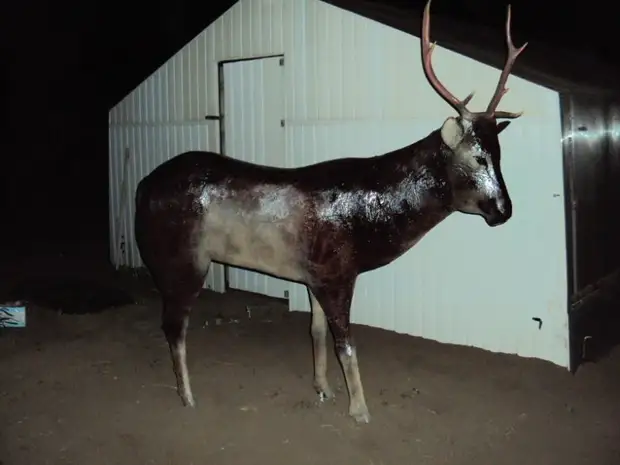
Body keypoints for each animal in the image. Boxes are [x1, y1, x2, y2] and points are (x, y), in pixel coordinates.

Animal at [133, 0, 524, 422]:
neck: (371, 223)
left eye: (500, 155)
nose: (504, 210)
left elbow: (315, 330)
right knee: (174, 326)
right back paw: (187, 396)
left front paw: (322, 387)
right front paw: (360, 409)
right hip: (181, 257)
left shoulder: (313, 273)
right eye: (478, 157)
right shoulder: (336, 271)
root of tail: (140, 189)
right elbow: (346, 344)